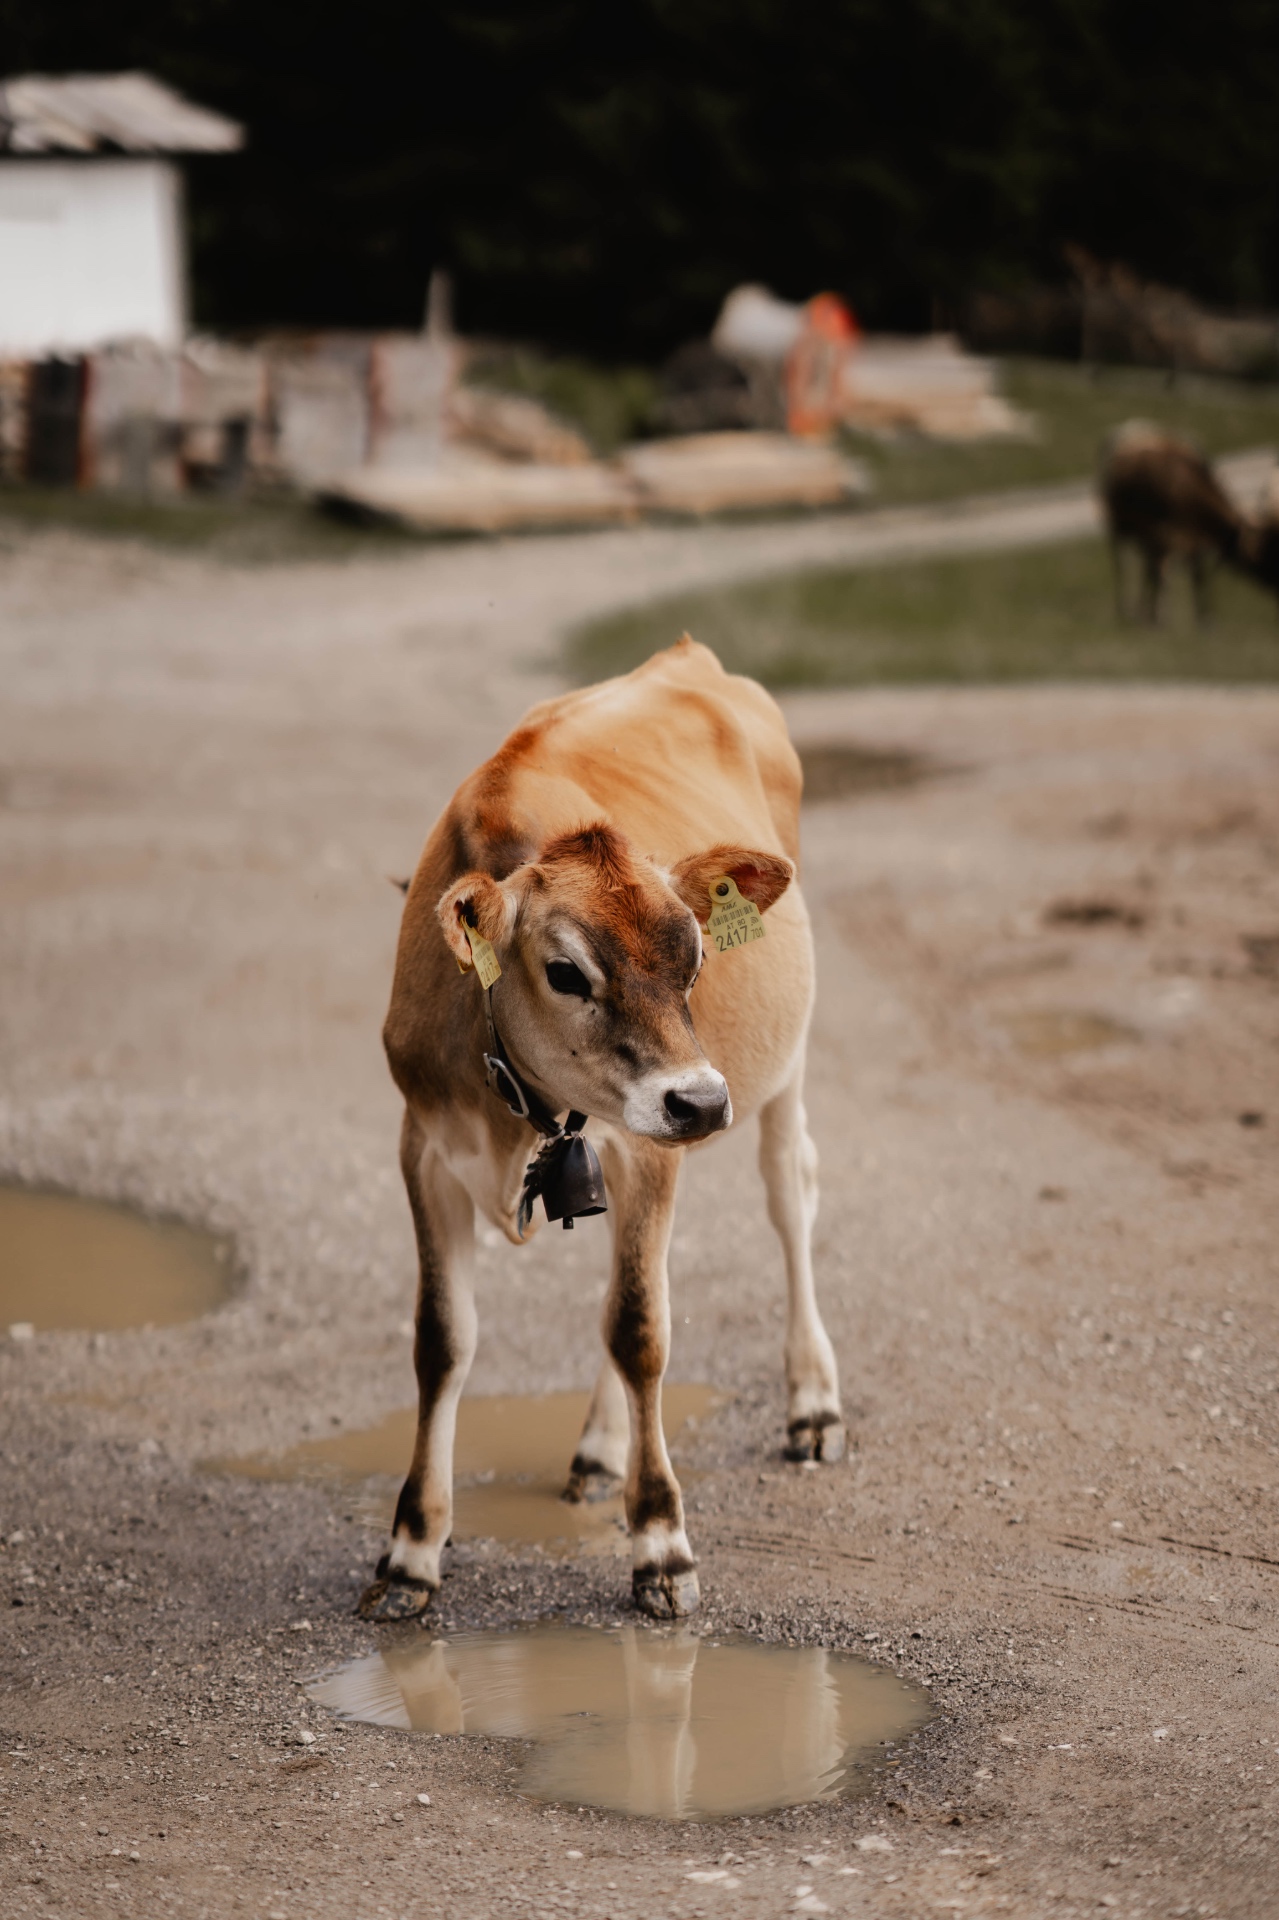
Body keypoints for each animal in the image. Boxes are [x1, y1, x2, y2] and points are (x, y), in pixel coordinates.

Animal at [361, 637, 843, 1624]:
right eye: (565, 972)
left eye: (695, 956)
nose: (700, 1103)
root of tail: (690, 656)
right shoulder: (423, 1145)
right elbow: (442, 1340)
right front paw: (412, 1549)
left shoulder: (644, 1143)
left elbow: (640, 1329)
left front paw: (660, 1542)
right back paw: (600, 1448)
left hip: (781, 1063)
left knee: (788, 1194)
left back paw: (811, 1401)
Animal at [1099, 420, 1279, 624]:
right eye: (1269, 551)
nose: (1275, 586)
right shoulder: (1163, 537)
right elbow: (1163, 576)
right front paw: (1159, 619)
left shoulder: (1192, 544)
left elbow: (1197, 576)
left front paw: (1205, 619)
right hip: (1118, 524)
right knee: (1122, 565)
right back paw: (1126, 608)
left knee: (1145, 569)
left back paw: (1141, 610)